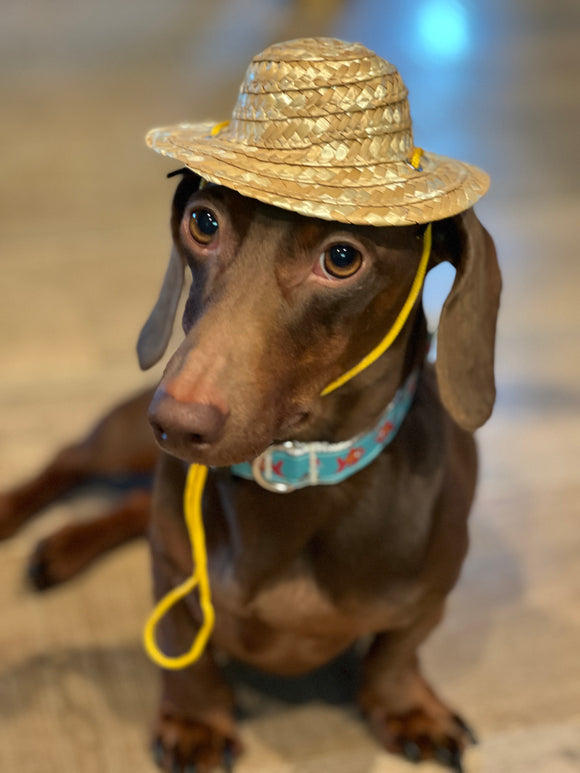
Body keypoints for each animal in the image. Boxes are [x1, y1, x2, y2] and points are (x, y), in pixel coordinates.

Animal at [0, 170, 498, 772]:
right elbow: (183, 651)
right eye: (202, 221)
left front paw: (408, 708)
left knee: (130, 503)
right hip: (122, 442)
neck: (298, 473)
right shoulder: (169, 569)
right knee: (70, 458)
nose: (175, 424)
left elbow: (395, 653)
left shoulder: (429, 599)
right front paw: (195, 722)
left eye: (342, 258)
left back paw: (66, 545)